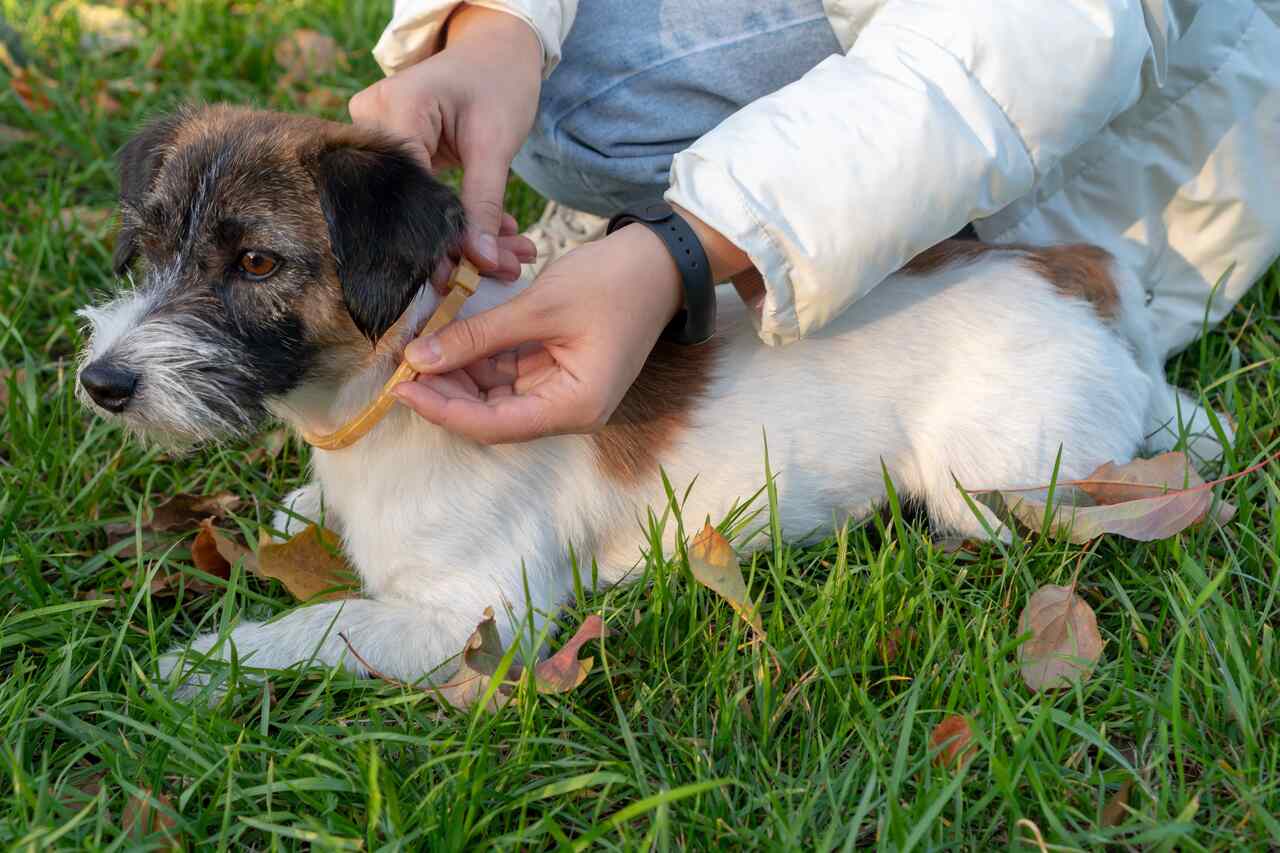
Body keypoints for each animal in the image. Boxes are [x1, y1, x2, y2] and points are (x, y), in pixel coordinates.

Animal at [80, 104, 1228, 691]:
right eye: (150, 243)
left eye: (258, 262)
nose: (102, 383)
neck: (379, 387)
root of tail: (1080, 274)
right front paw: (292, 516)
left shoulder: (479, 615)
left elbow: (321, 628)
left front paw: (205, 664)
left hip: (992, 474)